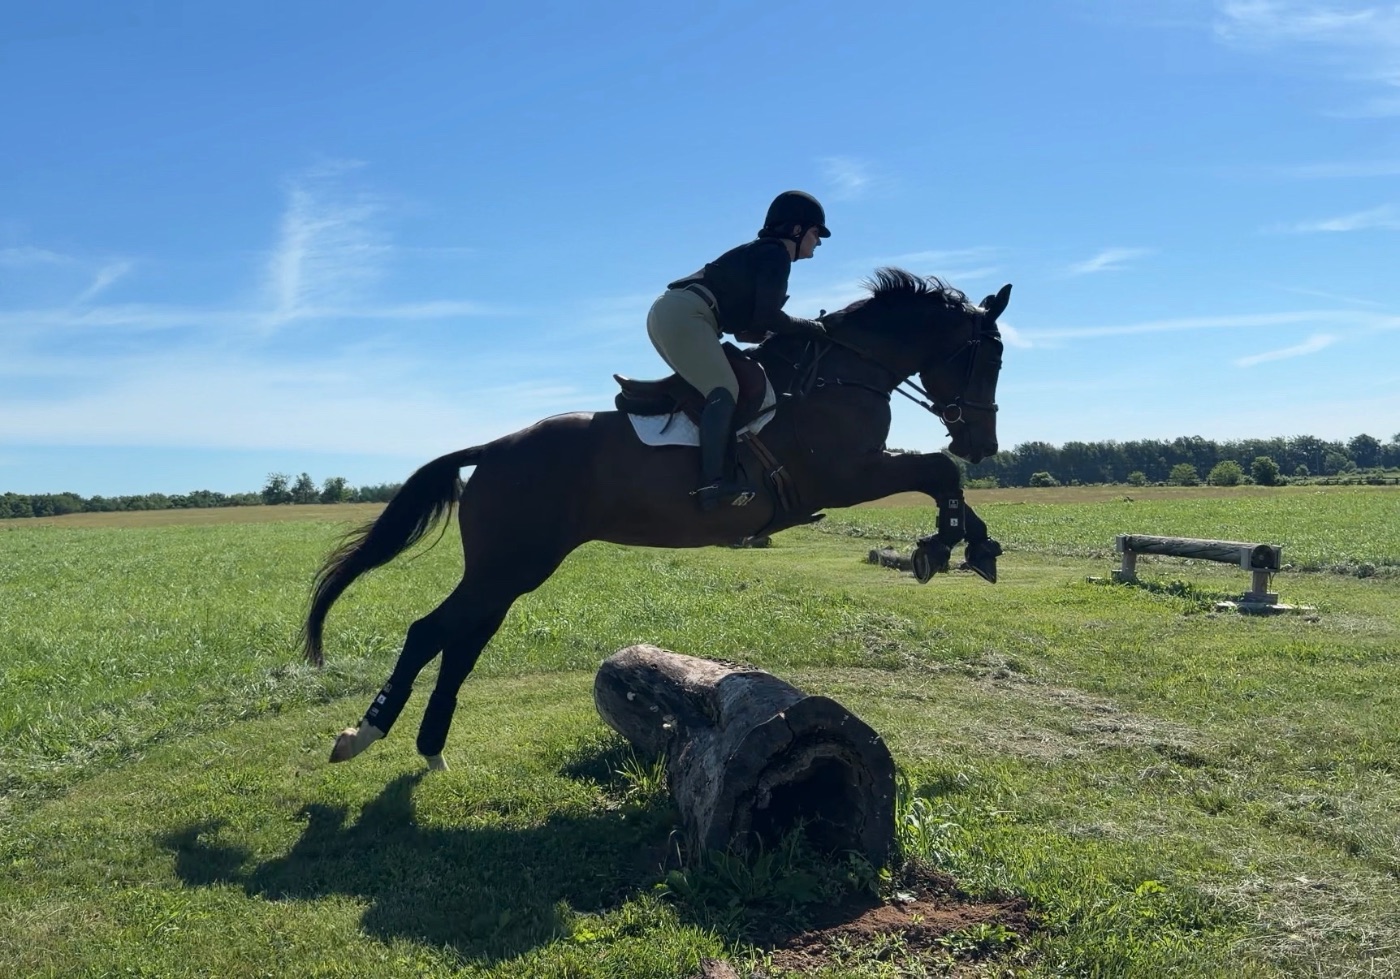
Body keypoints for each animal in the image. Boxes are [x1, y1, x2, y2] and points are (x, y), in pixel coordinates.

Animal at [303, 268, 1011, 769]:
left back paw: (430, 748)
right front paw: (939, 547)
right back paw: (361, 736)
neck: (843, 372)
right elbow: (938, 472)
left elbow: (945, 478)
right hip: (510, 564)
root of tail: (494, 449)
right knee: (431, 632)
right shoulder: (844, 475)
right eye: (990, 360)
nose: (983, 443)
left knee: (463, 639)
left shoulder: (858, 471)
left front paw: (977, 548)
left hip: (509, 572)